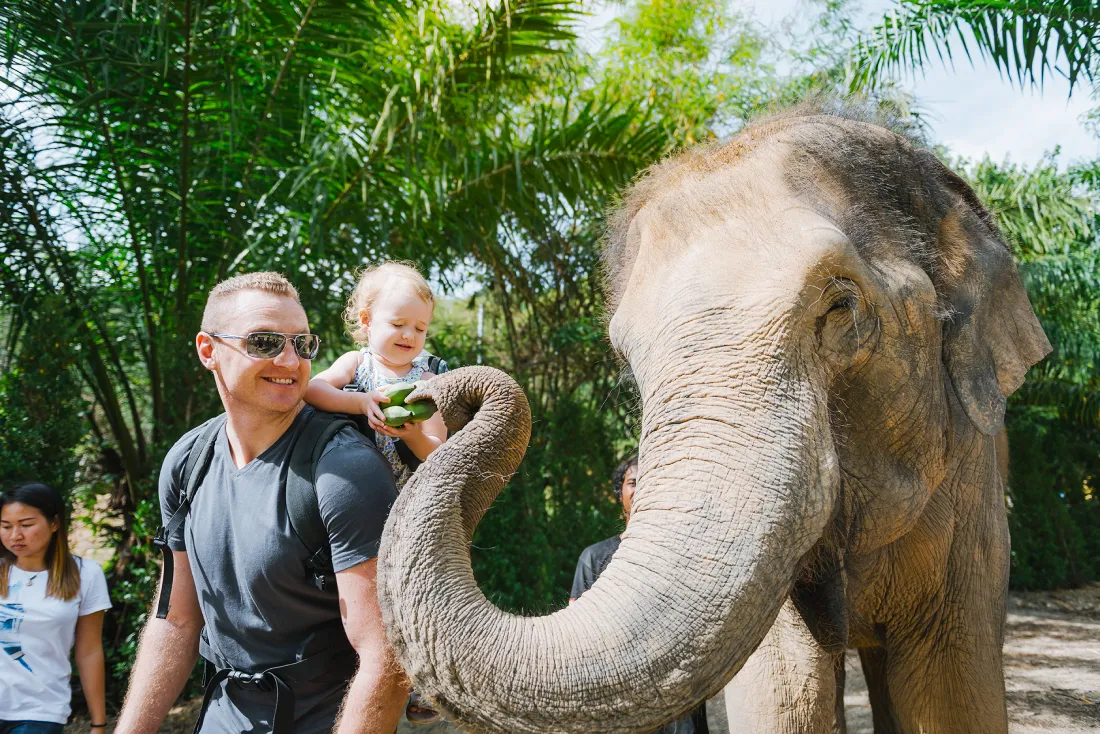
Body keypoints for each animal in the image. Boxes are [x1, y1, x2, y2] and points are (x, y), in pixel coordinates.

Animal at [376, 110, 1047, 734]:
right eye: (626, 358)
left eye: (842, 306)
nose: (429, 394)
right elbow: (786, 692)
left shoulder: (971, 485)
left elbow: (949, 694)